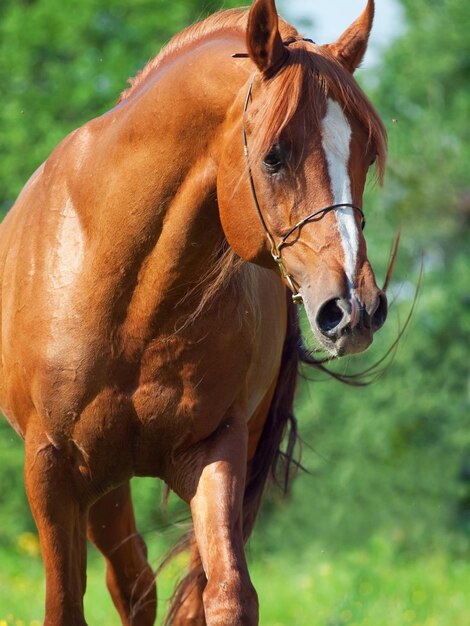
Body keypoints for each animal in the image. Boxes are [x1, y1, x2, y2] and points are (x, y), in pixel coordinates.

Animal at [0, 2, 388, 620]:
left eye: (366, 154)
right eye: (273, 157)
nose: (354, 307)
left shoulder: (212, 453)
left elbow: (228, 594)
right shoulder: (51, 470)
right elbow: (64, 605)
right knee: (131, 582)